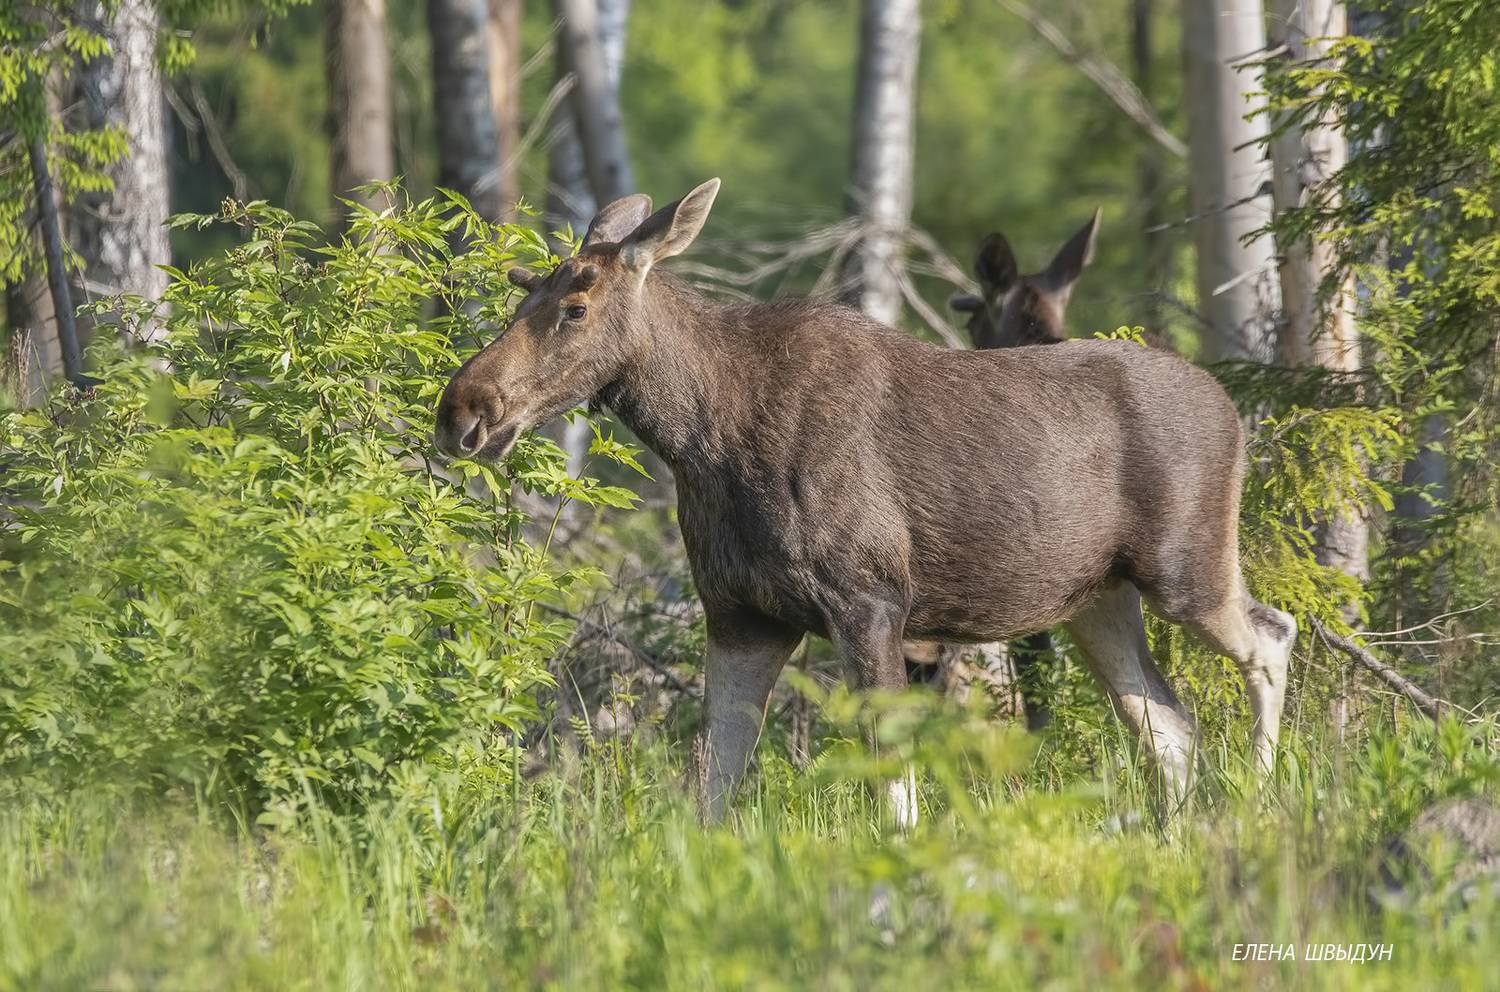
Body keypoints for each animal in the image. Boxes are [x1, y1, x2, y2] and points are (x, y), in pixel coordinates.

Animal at [434, 179, 1297, 827]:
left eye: (575, 306)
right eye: (522, 296)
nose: (462, 411)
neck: (701, 440)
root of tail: (1234, 409)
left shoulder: (871, 601)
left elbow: (894, 788)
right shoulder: (742, 616)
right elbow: (712, 785)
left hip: (1186, 568)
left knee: (1271, 636)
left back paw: (1259, 799)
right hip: (1097, 600)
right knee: (1170, 725)